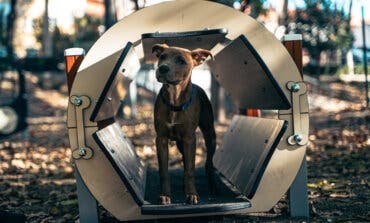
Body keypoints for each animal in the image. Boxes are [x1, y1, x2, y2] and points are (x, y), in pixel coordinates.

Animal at [152, 44, 217, 206]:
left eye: (181, 61)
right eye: (162, 57)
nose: (163, 68)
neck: (175, 98)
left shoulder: (190, 139)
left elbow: (190, 169)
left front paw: (192, 194)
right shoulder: (161, 139)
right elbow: (164, 170)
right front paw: (165, 195)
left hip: (210, 134)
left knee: (208, 163)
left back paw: (213, 187)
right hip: (180, 143)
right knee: (184, 160)